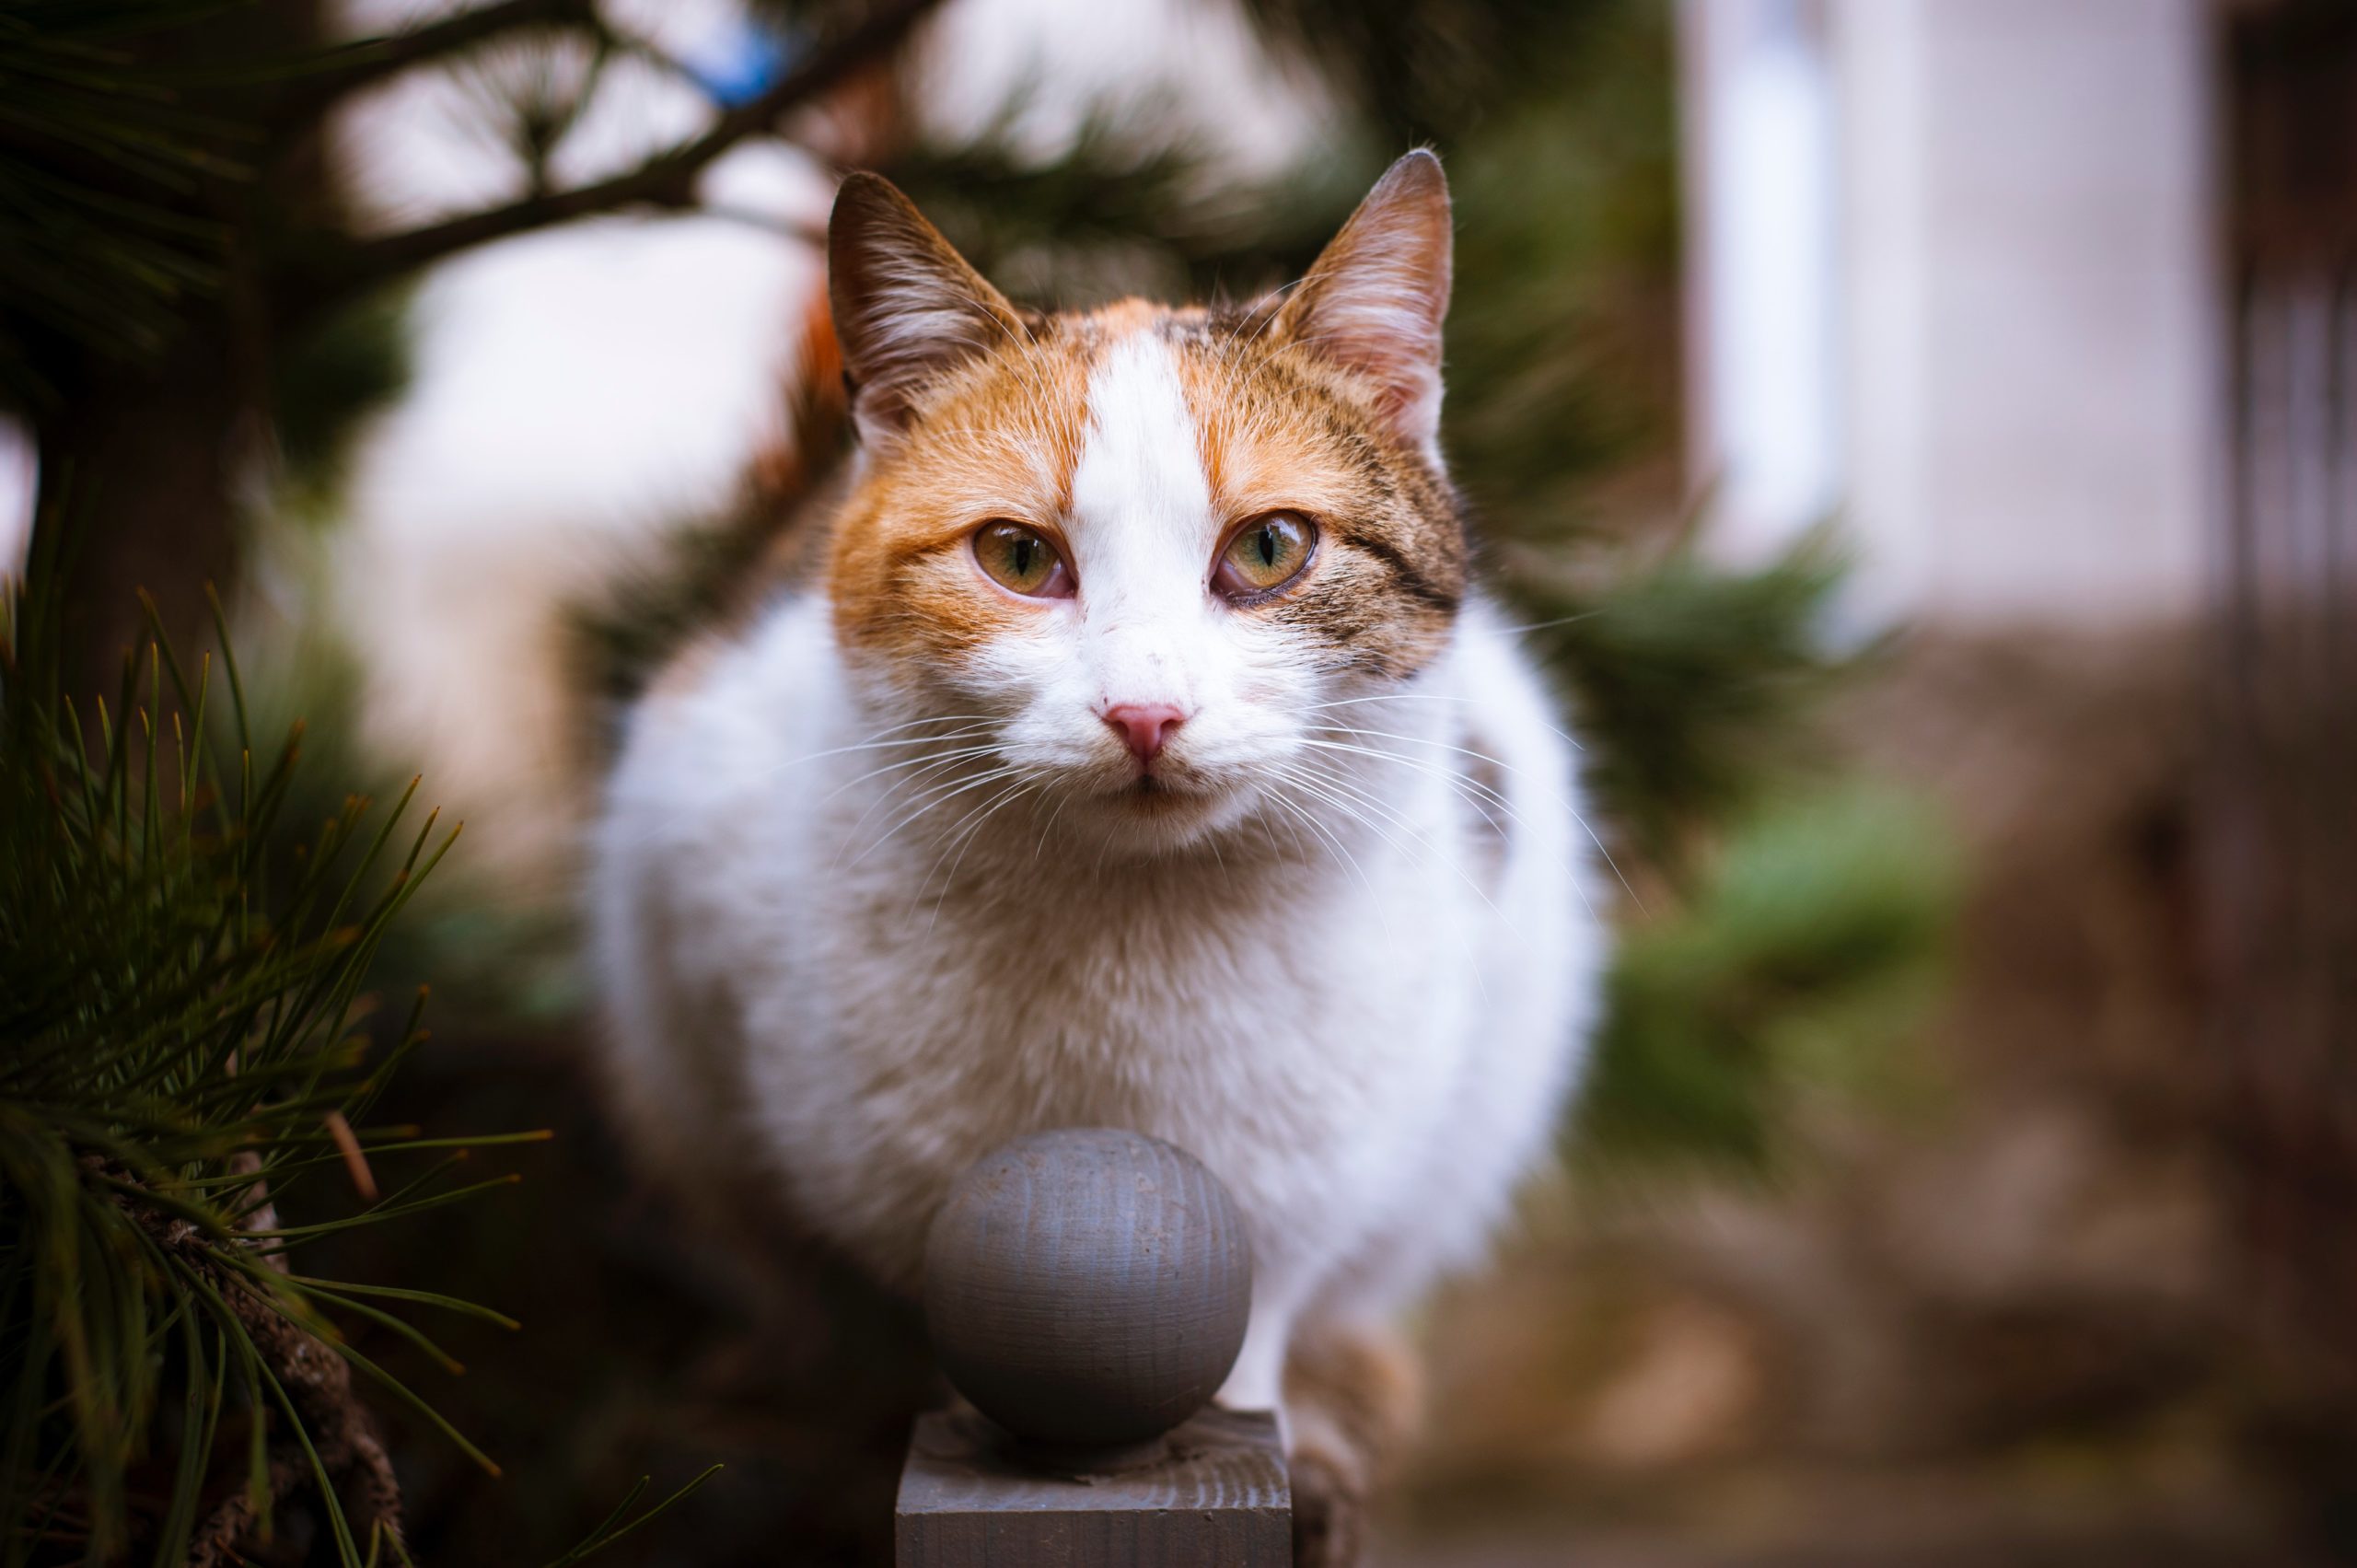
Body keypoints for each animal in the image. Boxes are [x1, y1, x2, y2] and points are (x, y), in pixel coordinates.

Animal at [598, 149, 1612, 1565]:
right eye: (1018, 555)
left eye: (1271, 547)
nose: (1145, 712)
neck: (1132, 937)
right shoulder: (689, 888)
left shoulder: (1307, 1189)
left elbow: (1251, 1333)